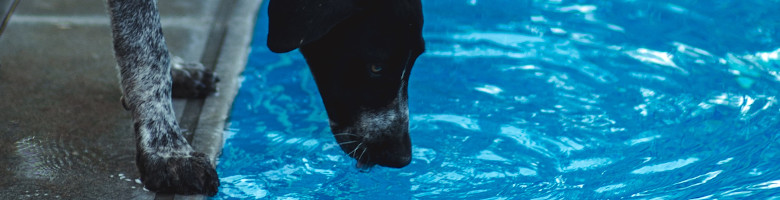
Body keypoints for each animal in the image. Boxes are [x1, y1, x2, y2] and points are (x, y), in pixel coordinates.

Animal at [106, 0, 424, 195]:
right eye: (376, 67)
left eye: (416, 59)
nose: (402, 157)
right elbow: (147, 44)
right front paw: (166, 152)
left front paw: (176, 70)